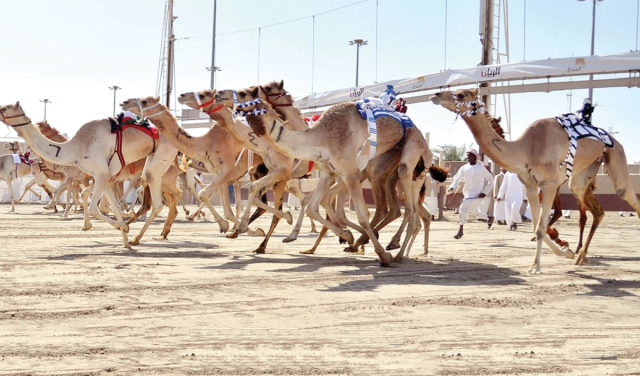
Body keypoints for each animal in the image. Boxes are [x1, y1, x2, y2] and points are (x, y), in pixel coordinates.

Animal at [0, 101, 178, 248]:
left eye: (4, 108)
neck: (75, 148)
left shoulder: (100, 174)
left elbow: (94, 207)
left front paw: (124, 227)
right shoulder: (105, 175)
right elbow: (111, 205)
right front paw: (125, 239)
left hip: (162, 156)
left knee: (157, 200)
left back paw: (142, 236)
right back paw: (144, 234)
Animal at [428, 89, 640, 272]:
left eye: (461, 94)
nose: (436, 94)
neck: (525, 149)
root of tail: (613, 139)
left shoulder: (548, 185)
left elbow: (540, 227)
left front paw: (535, 266)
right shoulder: (530, 185)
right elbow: (535, 226)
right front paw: (566, 251)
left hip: (616, 156)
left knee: (627, 195)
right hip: (582, 175)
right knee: (596, 210)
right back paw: (581, 256)